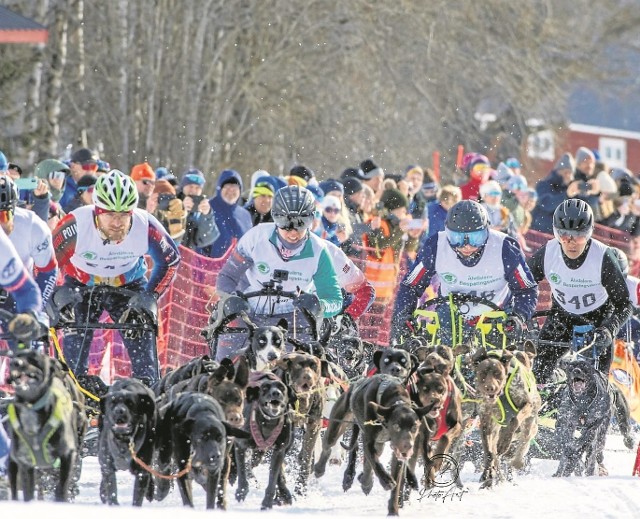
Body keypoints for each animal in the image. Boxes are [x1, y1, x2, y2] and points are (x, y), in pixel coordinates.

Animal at [476, 344, 540, 490]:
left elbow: (515, 421)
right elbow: (489, 452)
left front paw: (505, 442)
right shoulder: (486, 420)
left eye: (497, 373)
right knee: (496, 457)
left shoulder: (527, 404)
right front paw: (488, 473)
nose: (490, 388)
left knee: (520, 448)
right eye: (482, 373)